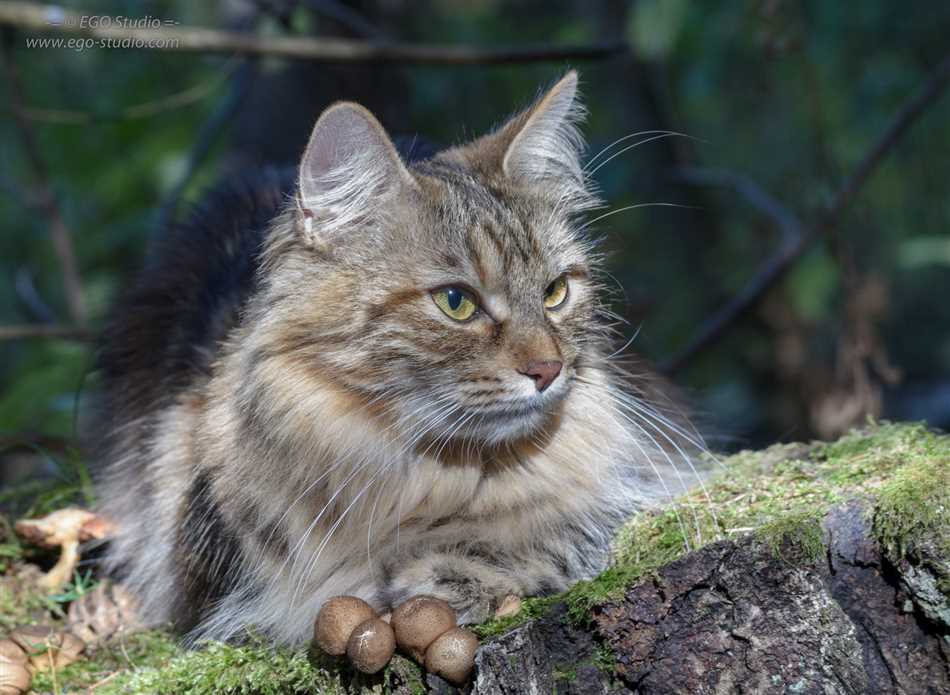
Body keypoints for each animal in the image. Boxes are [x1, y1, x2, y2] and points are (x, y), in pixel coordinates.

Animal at [96, 72, 704, 648]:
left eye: (555, 292)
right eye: (456, 302)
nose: (548, 370)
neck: (443, 479)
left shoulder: (642, 482)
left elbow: (572, 531)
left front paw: (454, 574)